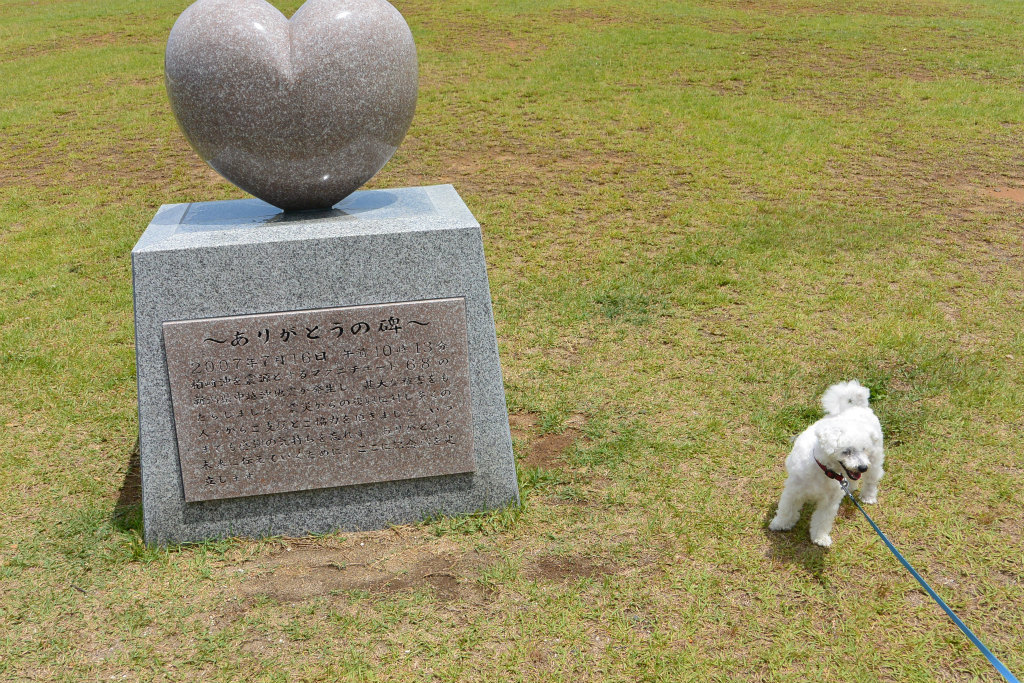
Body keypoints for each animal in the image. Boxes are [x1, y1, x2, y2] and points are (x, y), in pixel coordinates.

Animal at [769, 380, 885, 547]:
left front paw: (820, 537)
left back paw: (868, 496)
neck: (824, 470)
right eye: (846, 451)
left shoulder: (829, 502)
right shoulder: (794, 490)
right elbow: (787, 509)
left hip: (875, 459)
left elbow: (822, 520)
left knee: (871, 479)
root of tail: (858, 406)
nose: (862, 467)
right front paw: (780, 524)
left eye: (864, 449)